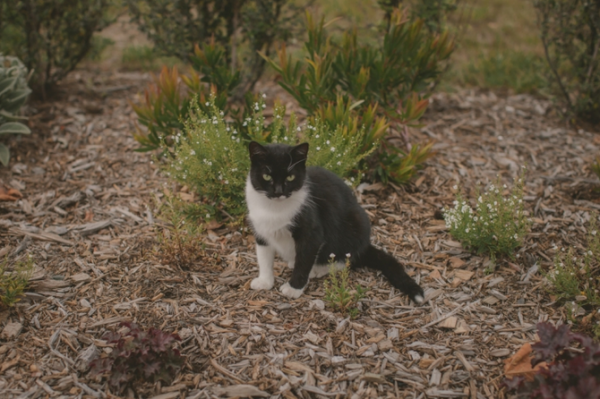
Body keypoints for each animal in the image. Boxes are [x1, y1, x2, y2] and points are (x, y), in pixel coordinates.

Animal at [246, 141, 424, 304]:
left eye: (290, 177)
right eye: (267, 176)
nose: (278, 192)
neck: (274, 209)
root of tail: (365, 245)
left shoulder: (312, 231)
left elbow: (304, 260)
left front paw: (294, 288)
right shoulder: (260, 229)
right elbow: (264, 256)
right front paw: (265, 281)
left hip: (356, 225)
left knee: (346, 258)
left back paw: (318, 269)